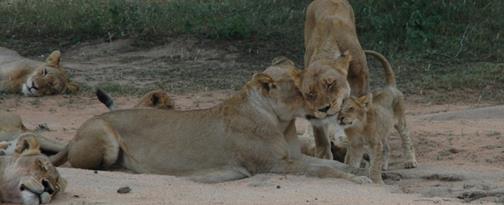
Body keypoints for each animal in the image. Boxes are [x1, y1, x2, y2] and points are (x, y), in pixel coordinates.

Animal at [50, 58, 370, 184]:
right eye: (305, 90)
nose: (327, 109)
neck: (281, 121)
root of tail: (75, 133)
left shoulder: (292, 158)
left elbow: (333, 164)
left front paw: (363, 172)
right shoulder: (274, 165)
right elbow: (325, 171)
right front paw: (357, 179)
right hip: (103, 137)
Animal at [338, 50, 418, 183]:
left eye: (351, 108)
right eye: (338, 110)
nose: (340, 118)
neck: (357, 127)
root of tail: (390, 86)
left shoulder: (374, 143)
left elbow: (374, 164)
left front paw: (376, 180)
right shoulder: (356, 145)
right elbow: (353, 162)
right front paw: (353, 174)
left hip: (400, 121)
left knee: (407, 140)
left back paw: (410, 162)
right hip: (383, 129)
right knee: (387, 147)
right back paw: (384, 166)